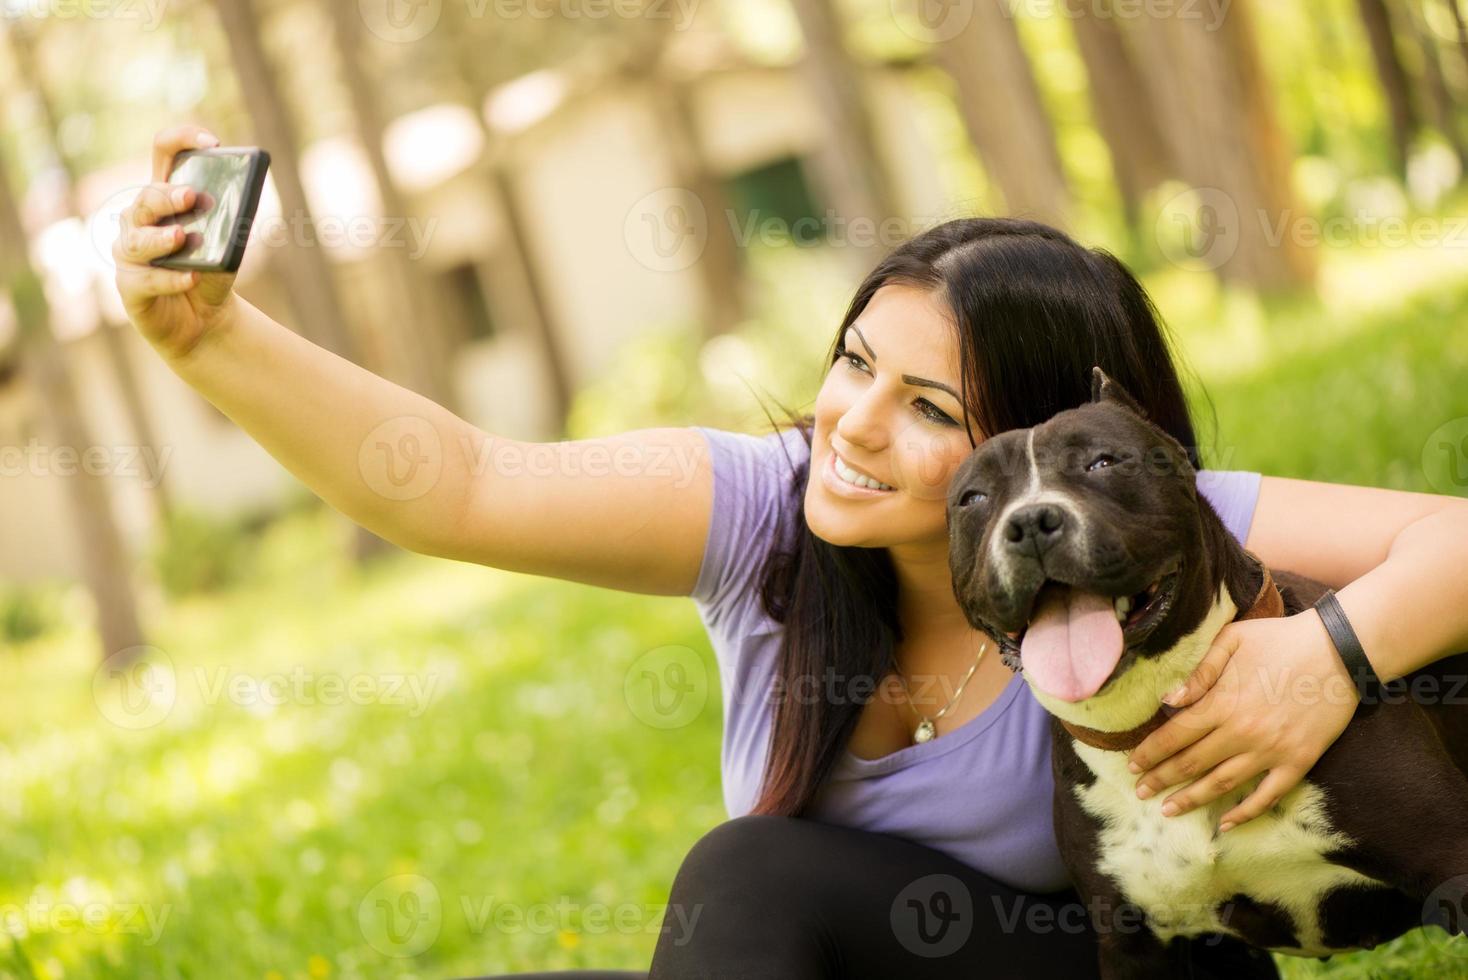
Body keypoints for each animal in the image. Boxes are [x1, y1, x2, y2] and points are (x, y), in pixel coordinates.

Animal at [939, 365, 1468, 974]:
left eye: (1103, 462)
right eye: (974, 498)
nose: (1029, 522)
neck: (1150, 714)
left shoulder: (1453, 861)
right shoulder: (1133, 946)